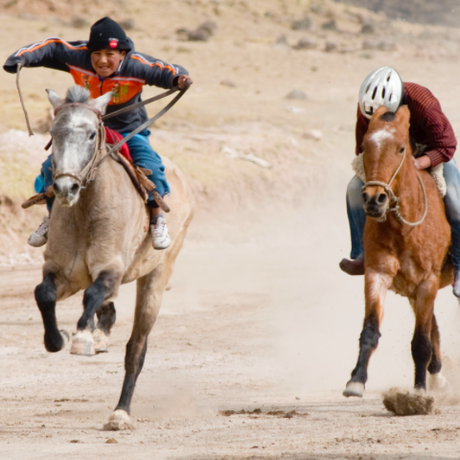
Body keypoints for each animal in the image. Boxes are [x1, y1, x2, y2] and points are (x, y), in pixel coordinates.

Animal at [33, 87, 194, 432]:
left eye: (92, 133)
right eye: (53, 133)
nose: (66, 187)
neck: (85, 213)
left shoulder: (112, 269)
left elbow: (94, 292)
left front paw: (81, 338)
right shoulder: (63, 272)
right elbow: (44, 294)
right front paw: (58, 338)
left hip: (157, 275)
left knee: (136, 347)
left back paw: (120, 412)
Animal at [342, 106, 452, 398]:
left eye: (401, 148)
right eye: (365, 146)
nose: (374, 198)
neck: (405, 228)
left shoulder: (427, 282)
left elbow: (421, 343)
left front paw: (418, 392)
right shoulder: (378, 274)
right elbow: (370, 329)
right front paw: (356, 380)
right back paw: (438, 376)